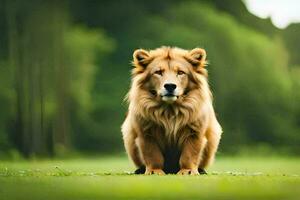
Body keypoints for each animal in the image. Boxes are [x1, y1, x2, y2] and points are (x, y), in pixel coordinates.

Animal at [120, 47, 221, 175]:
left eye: (180, 72)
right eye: (158, 72)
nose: (170, 86)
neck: (170, 110)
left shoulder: (195, 132)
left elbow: (189, 155)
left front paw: (187, 171)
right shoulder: (146, 133)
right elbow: (153, 155)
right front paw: (154, 171)